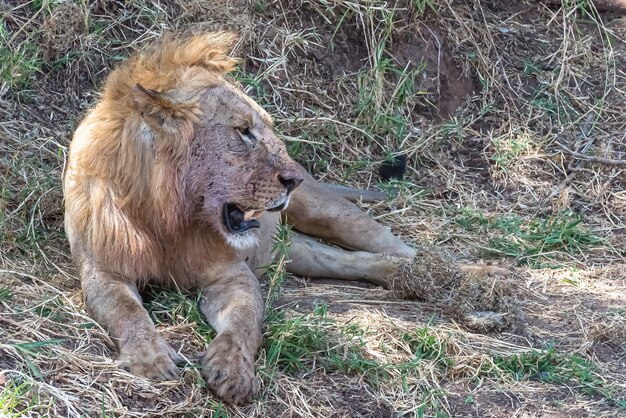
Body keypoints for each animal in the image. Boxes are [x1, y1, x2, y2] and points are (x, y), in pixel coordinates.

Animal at [63, 32, 414, 404]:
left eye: (268, 128)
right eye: (243, 130)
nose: (293, 180)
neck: (167, 219)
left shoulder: (231, 273)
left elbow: (244, 324)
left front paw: (233, 370)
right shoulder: (104, 271)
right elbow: (127, 312)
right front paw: (151, 360)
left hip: (323, 211)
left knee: (380, 237)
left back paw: (431, 270)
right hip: (292, 252)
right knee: (350, 261)